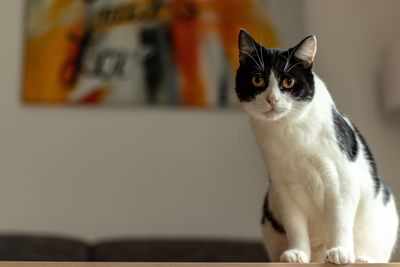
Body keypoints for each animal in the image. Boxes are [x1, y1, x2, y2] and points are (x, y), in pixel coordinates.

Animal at [236, 29, 398, 266]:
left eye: (288, 82)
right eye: (258, 80)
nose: (272, 99)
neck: (288, 131)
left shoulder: (340, 180)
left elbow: (339, 219)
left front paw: (340, 252)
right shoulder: (283, 187)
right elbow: (295, 226)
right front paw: (297, 253)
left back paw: (363, 258)